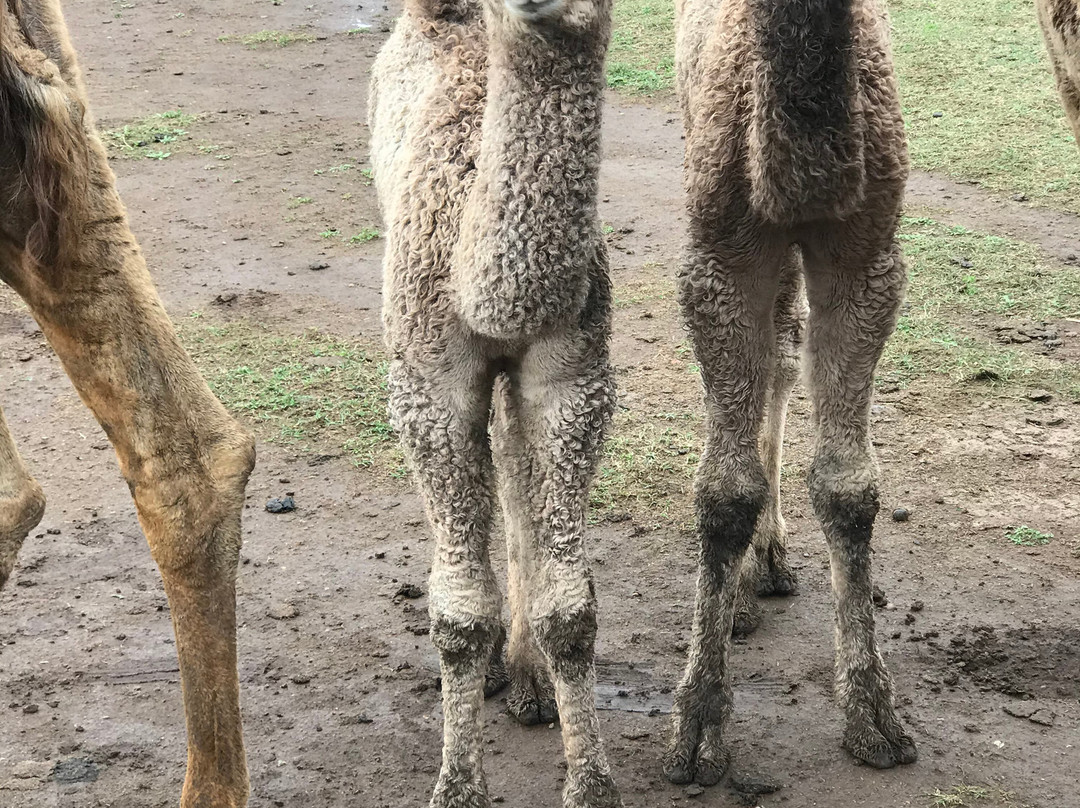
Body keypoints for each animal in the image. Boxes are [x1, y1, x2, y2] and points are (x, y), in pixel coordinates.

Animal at [368, 0, 621, 804]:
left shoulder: (573, 380)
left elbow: (573, 610)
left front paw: (592, 784)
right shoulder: (429, 388)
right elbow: (457, 613)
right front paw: (456, 785)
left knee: (511, 468)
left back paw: (530, 683)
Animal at [666, 0, 918, 786]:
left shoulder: (865, 256)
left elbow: (849, 487)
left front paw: (873, 717)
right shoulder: (720, 254)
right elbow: (723, 489)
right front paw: (698, 731)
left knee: (779, 358)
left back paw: (767, 562)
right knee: (766, 367)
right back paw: (745, 588)